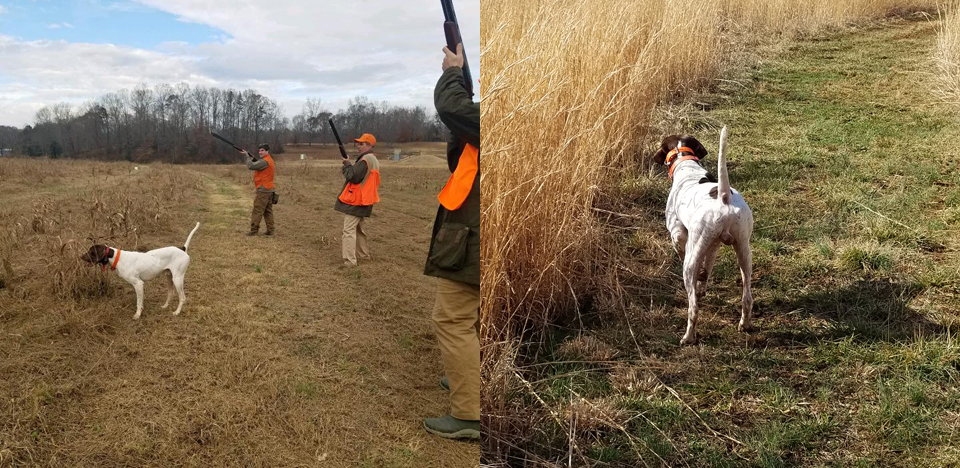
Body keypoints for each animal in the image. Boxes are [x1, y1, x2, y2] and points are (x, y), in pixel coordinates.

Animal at [656, 127, 752, 344]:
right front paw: (702, 284)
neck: (687, 164)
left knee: (693, 308)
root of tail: (724, 197)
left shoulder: (678, 234)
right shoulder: (713, 245)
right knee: (747, 298)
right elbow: (706, 270)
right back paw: (745, 325)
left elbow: (681, 250)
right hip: (744, 250)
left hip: (690, 261)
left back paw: (688, 337)